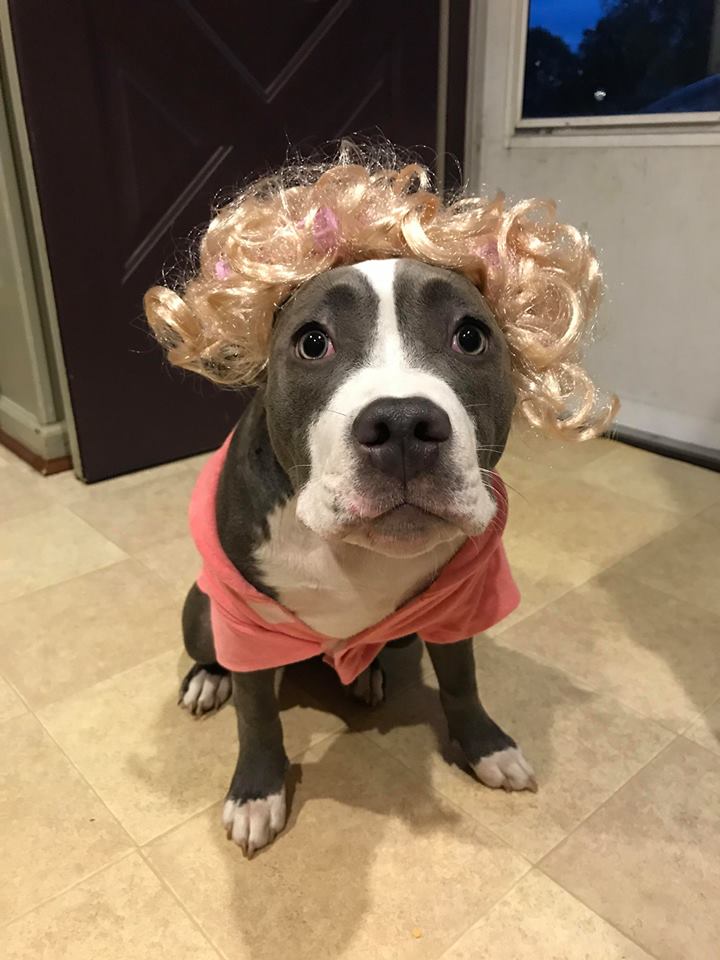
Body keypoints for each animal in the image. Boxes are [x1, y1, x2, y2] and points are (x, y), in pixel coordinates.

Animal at [176, 256, 536, 856]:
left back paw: (366, 673)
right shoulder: (248, 621)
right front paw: (256, 795)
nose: (403, 425)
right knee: (215, 656)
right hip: (203, 616)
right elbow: (256, 715)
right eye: (313, 342)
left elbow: (462, 680)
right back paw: (208, 679)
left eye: (470, 336)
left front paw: (488, 747)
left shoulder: (456, 603)